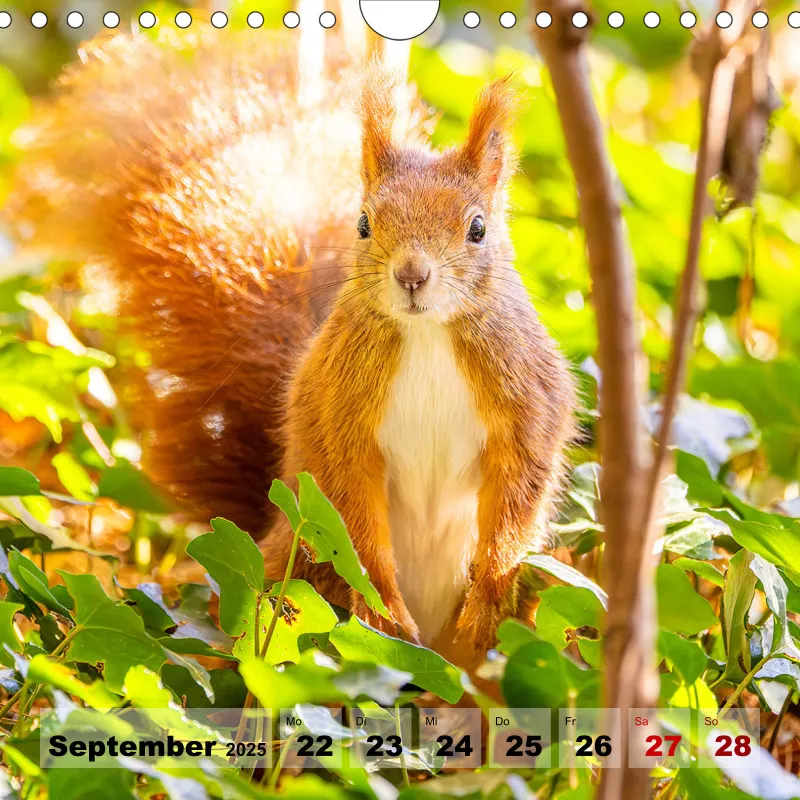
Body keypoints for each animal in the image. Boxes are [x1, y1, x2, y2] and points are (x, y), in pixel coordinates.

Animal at [7, 26, 577, 665]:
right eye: (363, 223)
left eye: (477, 228)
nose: (411, 275)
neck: (426, 333)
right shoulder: (338, 410)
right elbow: (348, 507)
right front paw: (381, 607)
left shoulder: (528, 397)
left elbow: (519, 490)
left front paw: (487, 596)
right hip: (288, 575)